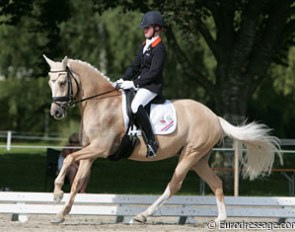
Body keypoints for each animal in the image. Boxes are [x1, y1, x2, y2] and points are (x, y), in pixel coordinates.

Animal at [42, 55, 284, 224]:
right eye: (50, 82)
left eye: (62, 82)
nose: (56, 112)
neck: (100, 103)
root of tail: (214, 116)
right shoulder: (90, 153)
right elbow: (77, 181)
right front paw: (60, 214)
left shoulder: (100, 148)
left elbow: (69, 158)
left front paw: (56, 193)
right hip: (199, 159)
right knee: (216, 183)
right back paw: (220, 219)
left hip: (190, 155)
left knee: (174, 185)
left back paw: (142, 216)